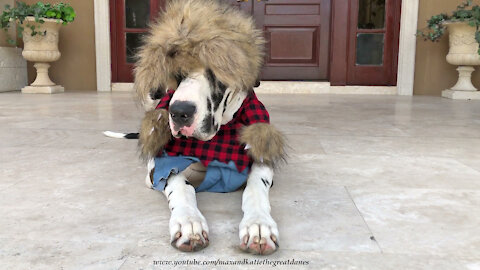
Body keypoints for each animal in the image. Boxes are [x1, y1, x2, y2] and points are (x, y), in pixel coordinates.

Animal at [108, 0, 284, 255]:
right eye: (177, 72)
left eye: (218, 70)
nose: (180, 112)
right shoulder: (158, 166)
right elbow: (180, 186)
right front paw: (189, 223)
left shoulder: (262, 156)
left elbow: (255, 187)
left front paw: (258, 226)